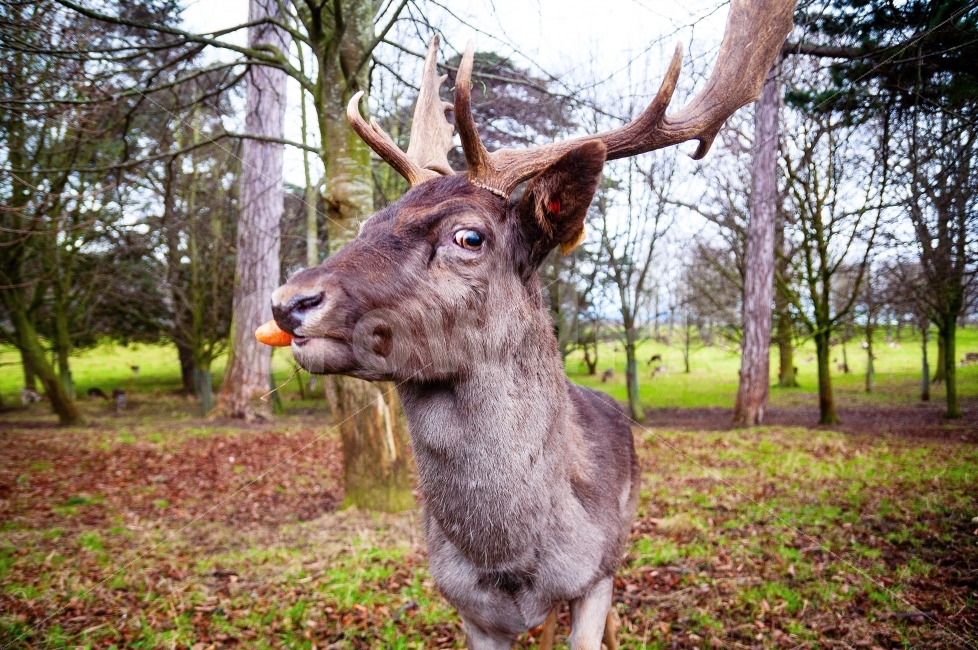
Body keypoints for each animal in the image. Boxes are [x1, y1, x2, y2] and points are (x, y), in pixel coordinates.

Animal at [264, 2, 793, 647]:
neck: (510, 561)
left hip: (622, 540)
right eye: (366, 223)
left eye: (469, 237)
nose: (290, 301)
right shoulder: (470, 610)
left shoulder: (594, 578)